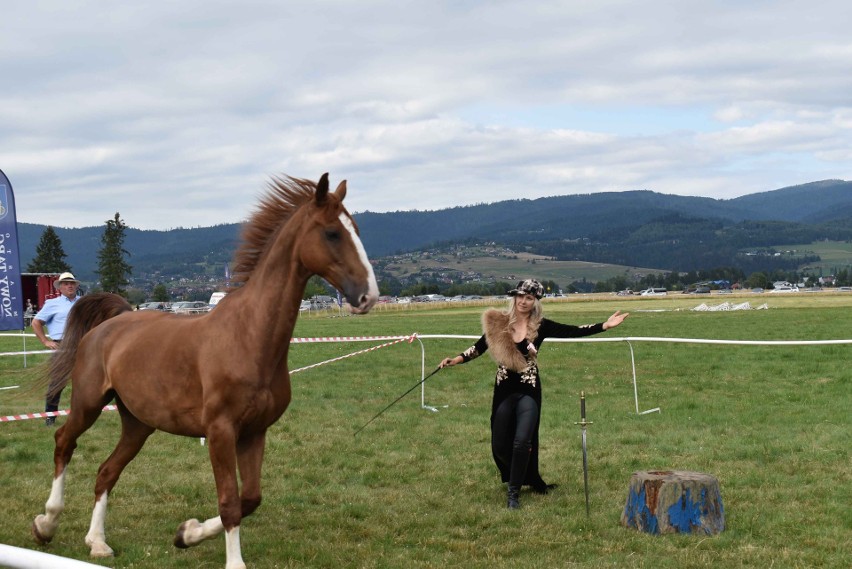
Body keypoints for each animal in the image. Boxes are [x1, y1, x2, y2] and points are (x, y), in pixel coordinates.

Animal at [32, 173, 380, 568]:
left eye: (356, 230)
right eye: (332, 233)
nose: (368, 295)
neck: (248, 337)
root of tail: (112, 322)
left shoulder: (254, 432)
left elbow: (250, 499)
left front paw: (187, 534)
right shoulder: (220, 432)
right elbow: (230, 502)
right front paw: (230, 559)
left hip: (138, 424)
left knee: (106, 472)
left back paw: (97, 542)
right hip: (89, 403)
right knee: (64, 442)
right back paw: (46, 523)